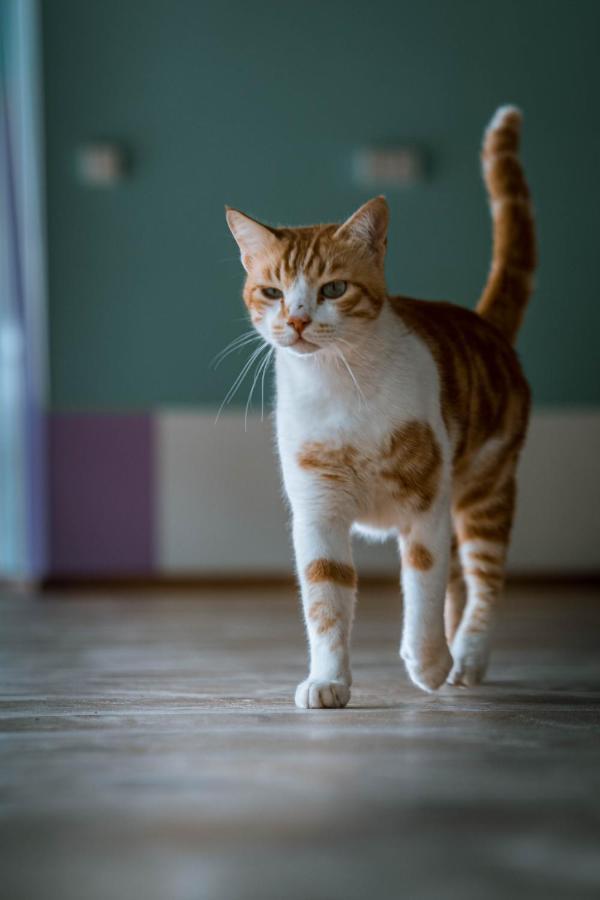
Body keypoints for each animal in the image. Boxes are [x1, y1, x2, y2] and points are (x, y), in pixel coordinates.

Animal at [227, 105, 536, 708]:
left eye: (333, 289)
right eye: (272, 292)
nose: (296, 319)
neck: (339, 387)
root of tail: (484, 321)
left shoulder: (425, 505)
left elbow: (422, 587)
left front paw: (429, 662)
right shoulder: (318, 510)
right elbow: (325, 601)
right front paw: (328, 681)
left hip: (486, 490)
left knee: (483, 580)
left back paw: (466, 656)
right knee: (460, 581)